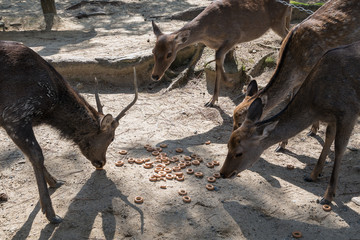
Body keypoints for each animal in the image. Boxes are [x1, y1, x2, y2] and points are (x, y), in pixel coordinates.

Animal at [0, 40, 139, 223]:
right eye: (112, 138)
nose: (102, 162)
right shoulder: (14, 115)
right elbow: (36, 155)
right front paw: (51, 214)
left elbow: (31, 156)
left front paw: (55, 181)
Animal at [150, 0, 292, 106]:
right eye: (153, 51)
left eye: (169, 54)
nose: (155, 76)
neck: (207, 33)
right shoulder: (219, 45)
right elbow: (217, 64)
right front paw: (212, 101)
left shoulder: (235, 36)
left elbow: (218, 56)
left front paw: (229, 82)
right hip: (283, 17)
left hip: (277, 21)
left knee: (288, 33)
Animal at [221, 40, 360, 204]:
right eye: (227, 145)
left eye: (239, 153)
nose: (222, 173)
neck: (316, 106)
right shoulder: (331, 118)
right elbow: (328, 138)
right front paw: (312, 176)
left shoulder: (348, 112)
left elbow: (339, 148)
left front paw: (327, 197)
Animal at [232, 0, 360, 150]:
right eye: (233, 118)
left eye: (240, 122)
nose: (234, 137)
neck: (296, 64)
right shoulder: (297, 81)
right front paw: (285, 143)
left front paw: (311, 130)